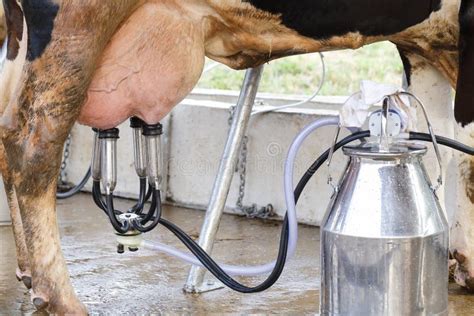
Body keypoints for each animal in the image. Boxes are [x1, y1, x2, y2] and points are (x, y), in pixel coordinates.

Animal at [0, 0, 472, 314]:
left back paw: (27, 274)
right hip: (73, 25)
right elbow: (466, 158)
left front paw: (460, 263)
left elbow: (446, 150)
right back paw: (61, 298)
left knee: (6, 134)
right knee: (31, 147)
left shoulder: (427, 44)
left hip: (17, 39)